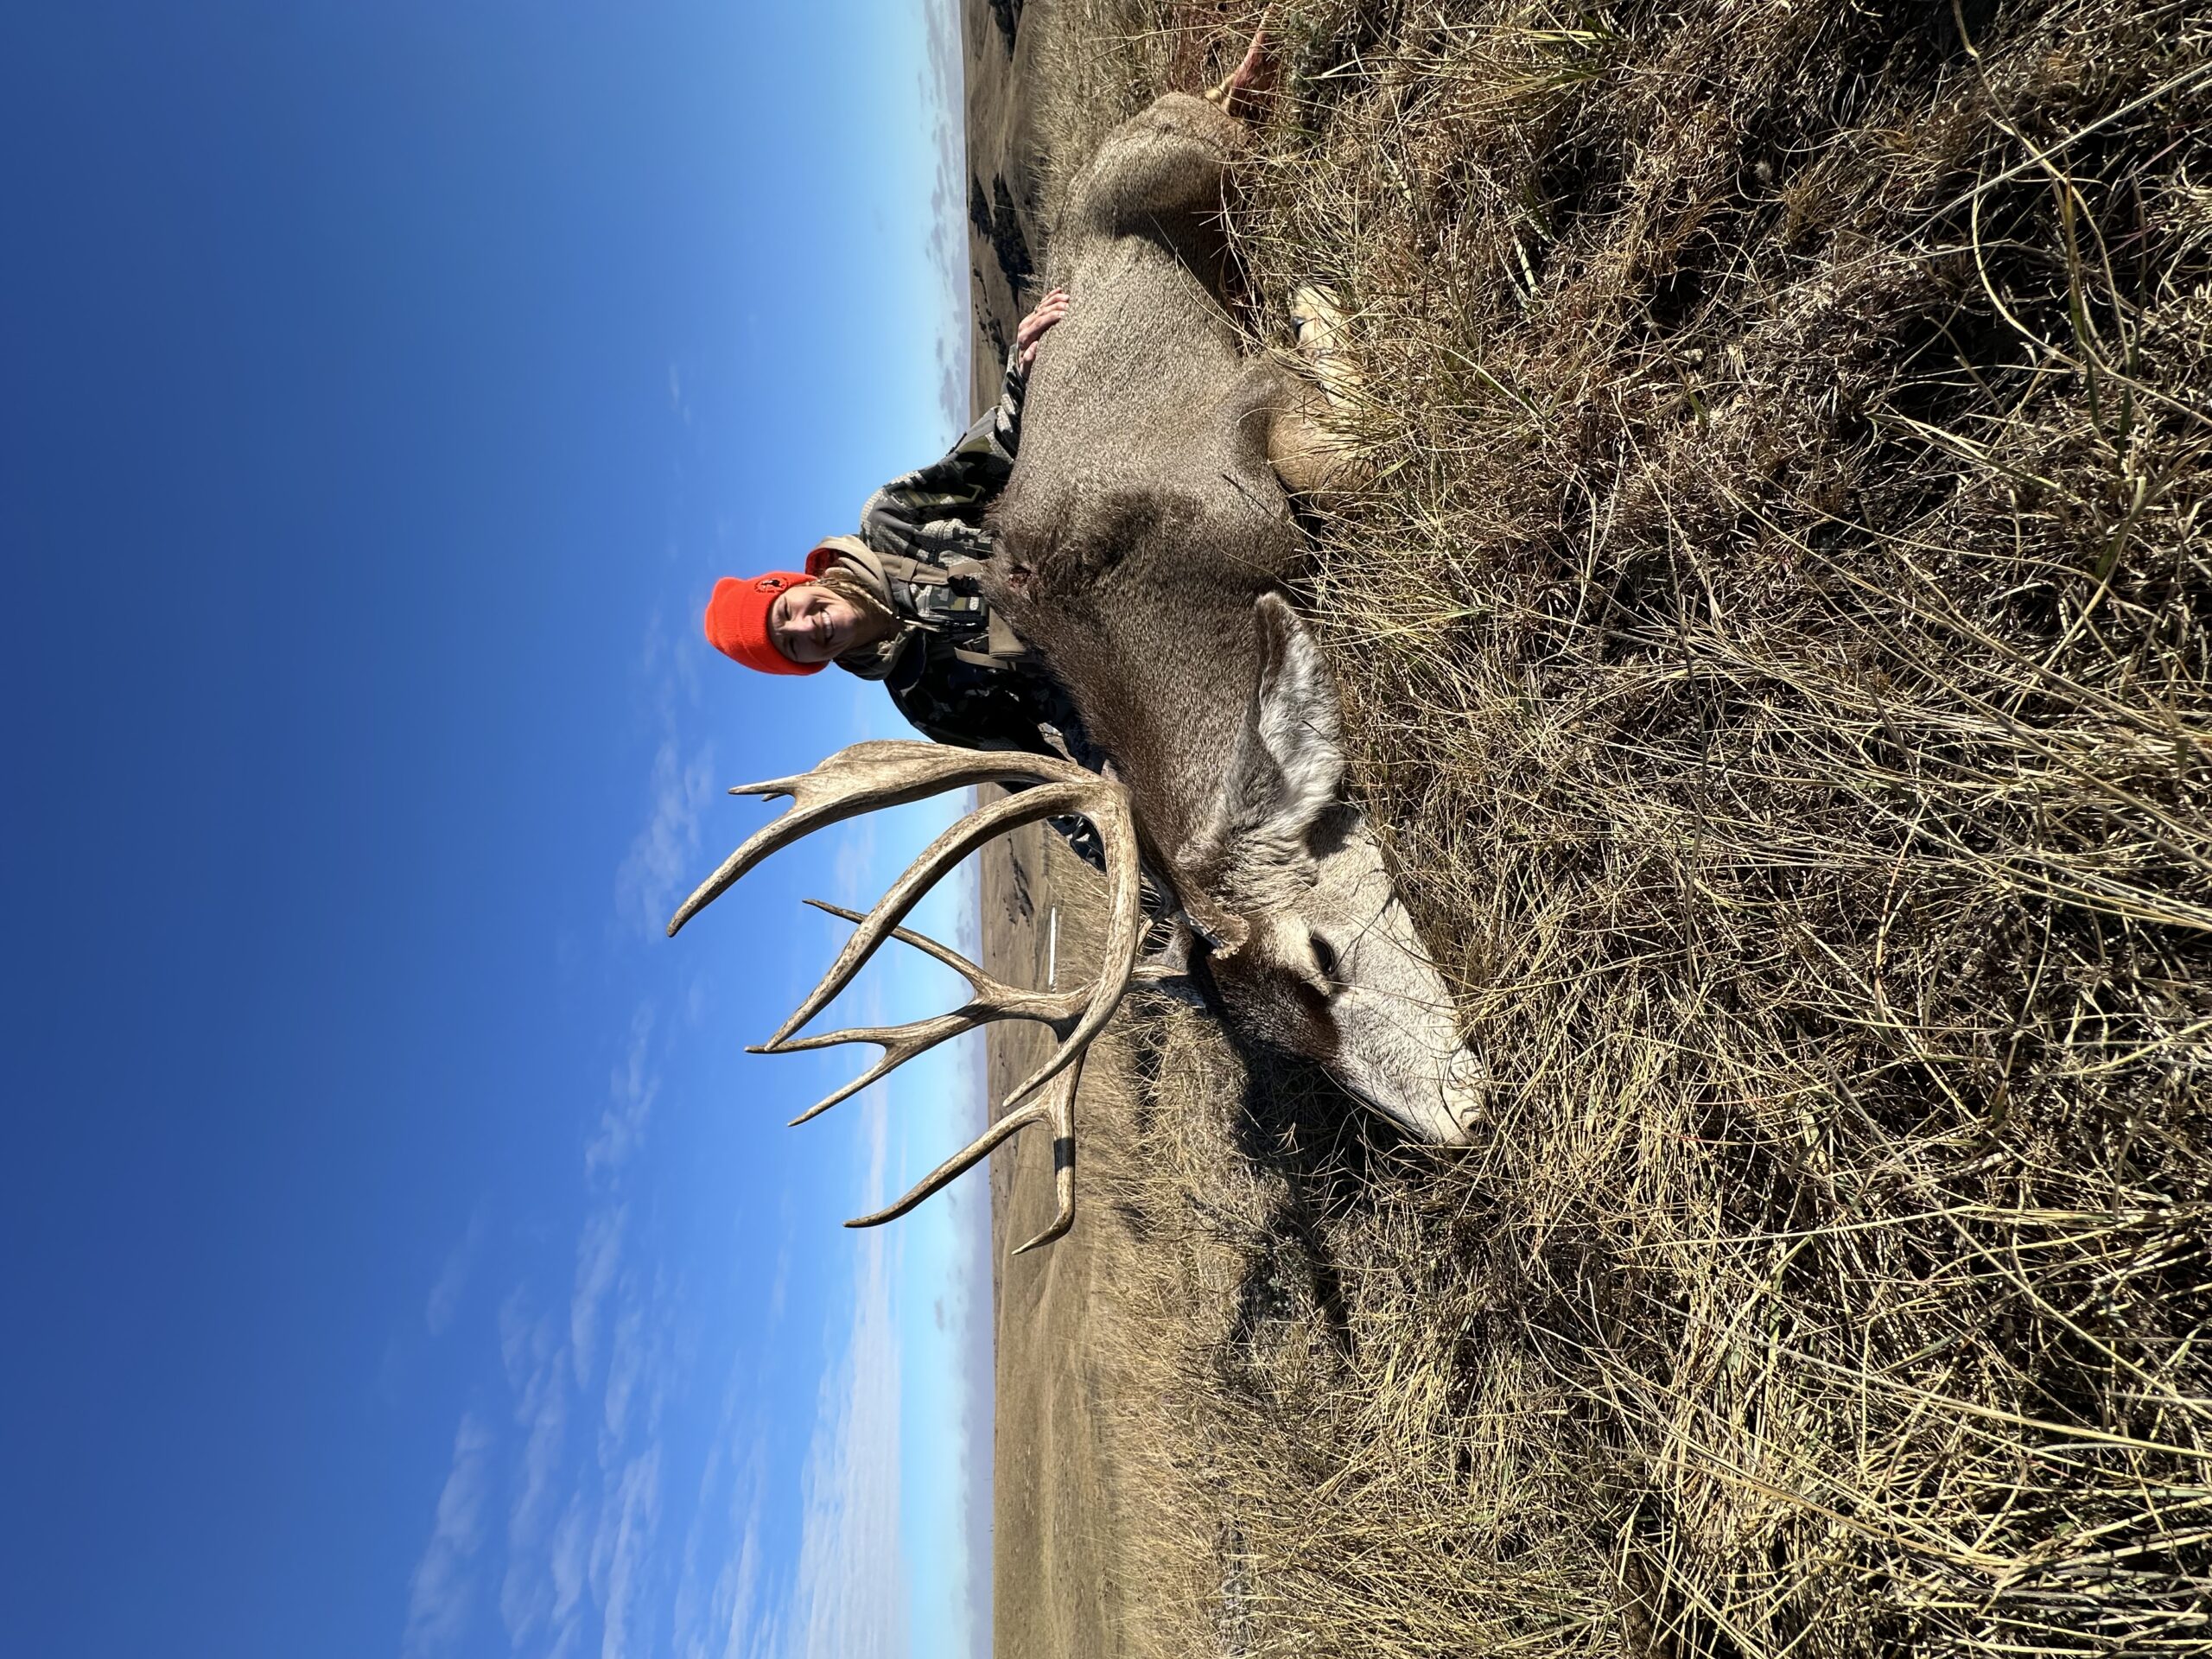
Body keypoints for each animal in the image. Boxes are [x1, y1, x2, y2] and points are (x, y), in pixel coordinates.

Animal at [669, 35, 1486, 1254]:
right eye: (1292, 1044)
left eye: (1322, 956)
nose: (1463, 1121)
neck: (1162, 604)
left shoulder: (1245, 422)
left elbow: (1346, 441)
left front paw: (1316, 302)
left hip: (1196, 157)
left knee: (1235, 132)